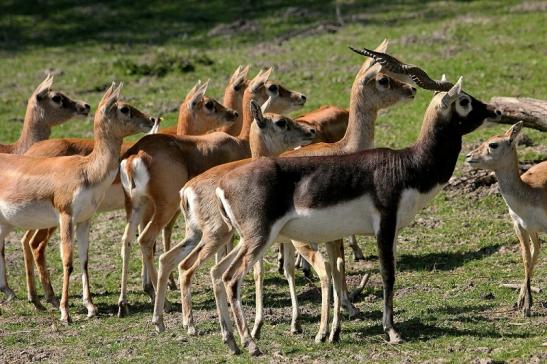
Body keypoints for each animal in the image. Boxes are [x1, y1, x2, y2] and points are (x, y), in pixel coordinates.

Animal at [0, 83, 158, 322]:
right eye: (124, 108)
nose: (151, 119)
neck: (86, 170)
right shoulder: (66, 217)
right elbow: (68, 261)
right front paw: (65, 312)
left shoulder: (85, 220)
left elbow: (84, 260)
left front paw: (91, 307)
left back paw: (34, 300)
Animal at [16, 78, 234, 308]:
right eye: (209, 103)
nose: (233, 113)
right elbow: (153, 241)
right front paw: (159, 287)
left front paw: (149, 288)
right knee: (36, 245)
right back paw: (50, 297)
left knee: (27, 242)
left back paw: (36, 297)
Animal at [116, 67, 308, 316]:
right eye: (272, 87)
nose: (301, 97)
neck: (240, 142)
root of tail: (134, 155)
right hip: (165, 208)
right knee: (148, 240)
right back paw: (164, 301)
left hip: (137, 206)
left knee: (129, 240)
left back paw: (126, 302)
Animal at [213, 77, 500, 356]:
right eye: (464, 101)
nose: (495, 111)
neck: (407, 165)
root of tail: (222, 184)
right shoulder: (384, 225)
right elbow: (387, 274)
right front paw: (391, 331)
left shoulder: (393, 231)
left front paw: (335, 332)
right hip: (259, 238)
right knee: (231, 278)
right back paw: (250, 344)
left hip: (247, 239)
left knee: (217, 272)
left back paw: (231, 343)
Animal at [466, 122, 547, 316]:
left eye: (493, 144)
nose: (468, 156)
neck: (530, 194)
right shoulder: (520, 227)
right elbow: (526, 258)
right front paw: (525, 305)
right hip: (532, 231)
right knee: (536, 250)